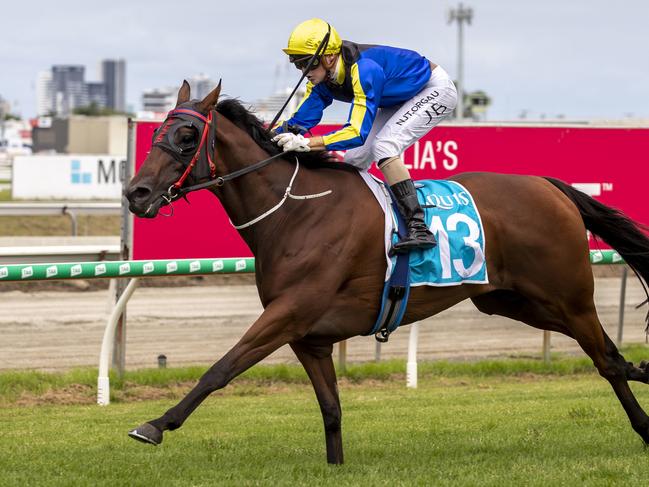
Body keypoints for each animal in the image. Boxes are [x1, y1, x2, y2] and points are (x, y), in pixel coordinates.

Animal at [125, 81, 648, 466]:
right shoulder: (308, 337)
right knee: (612, 356)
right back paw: (641, 378)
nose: (136, 193)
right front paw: (335, 465)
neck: (295, 212)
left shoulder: (287, 314)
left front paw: (154, 425)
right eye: (154, 136)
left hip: (568, 297)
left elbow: (221, 368)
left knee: (605, 360)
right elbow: (331, 409)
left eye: (186, 138)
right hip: (512, 301)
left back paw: (643, 426)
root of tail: (550, 186)